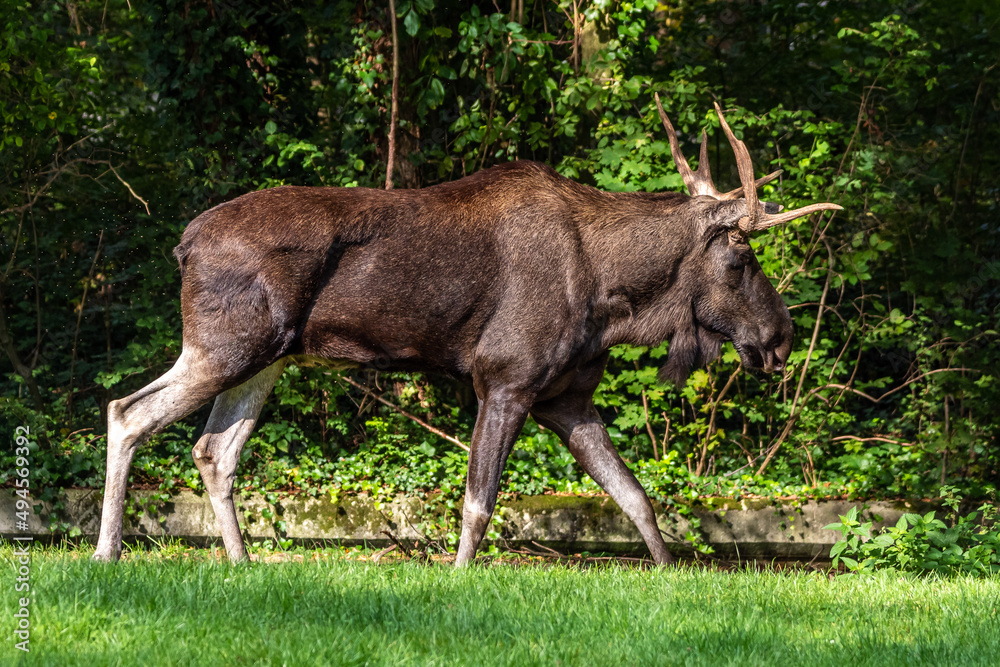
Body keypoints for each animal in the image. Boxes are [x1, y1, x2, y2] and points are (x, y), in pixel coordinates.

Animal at [94, 99, 844, 568]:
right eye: (742, 259)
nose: (779, 338)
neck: (615, 299)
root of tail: (183, 245)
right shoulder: (505, 379)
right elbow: (479, 504)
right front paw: (457, 577)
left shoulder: (565, 397)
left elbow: (635, 497)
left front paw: (672, 572)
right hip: (224, 346)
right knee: (126, 411)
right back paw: (108, 551)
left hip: (266, 358)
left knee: (213, 451)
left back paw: (243, 560)